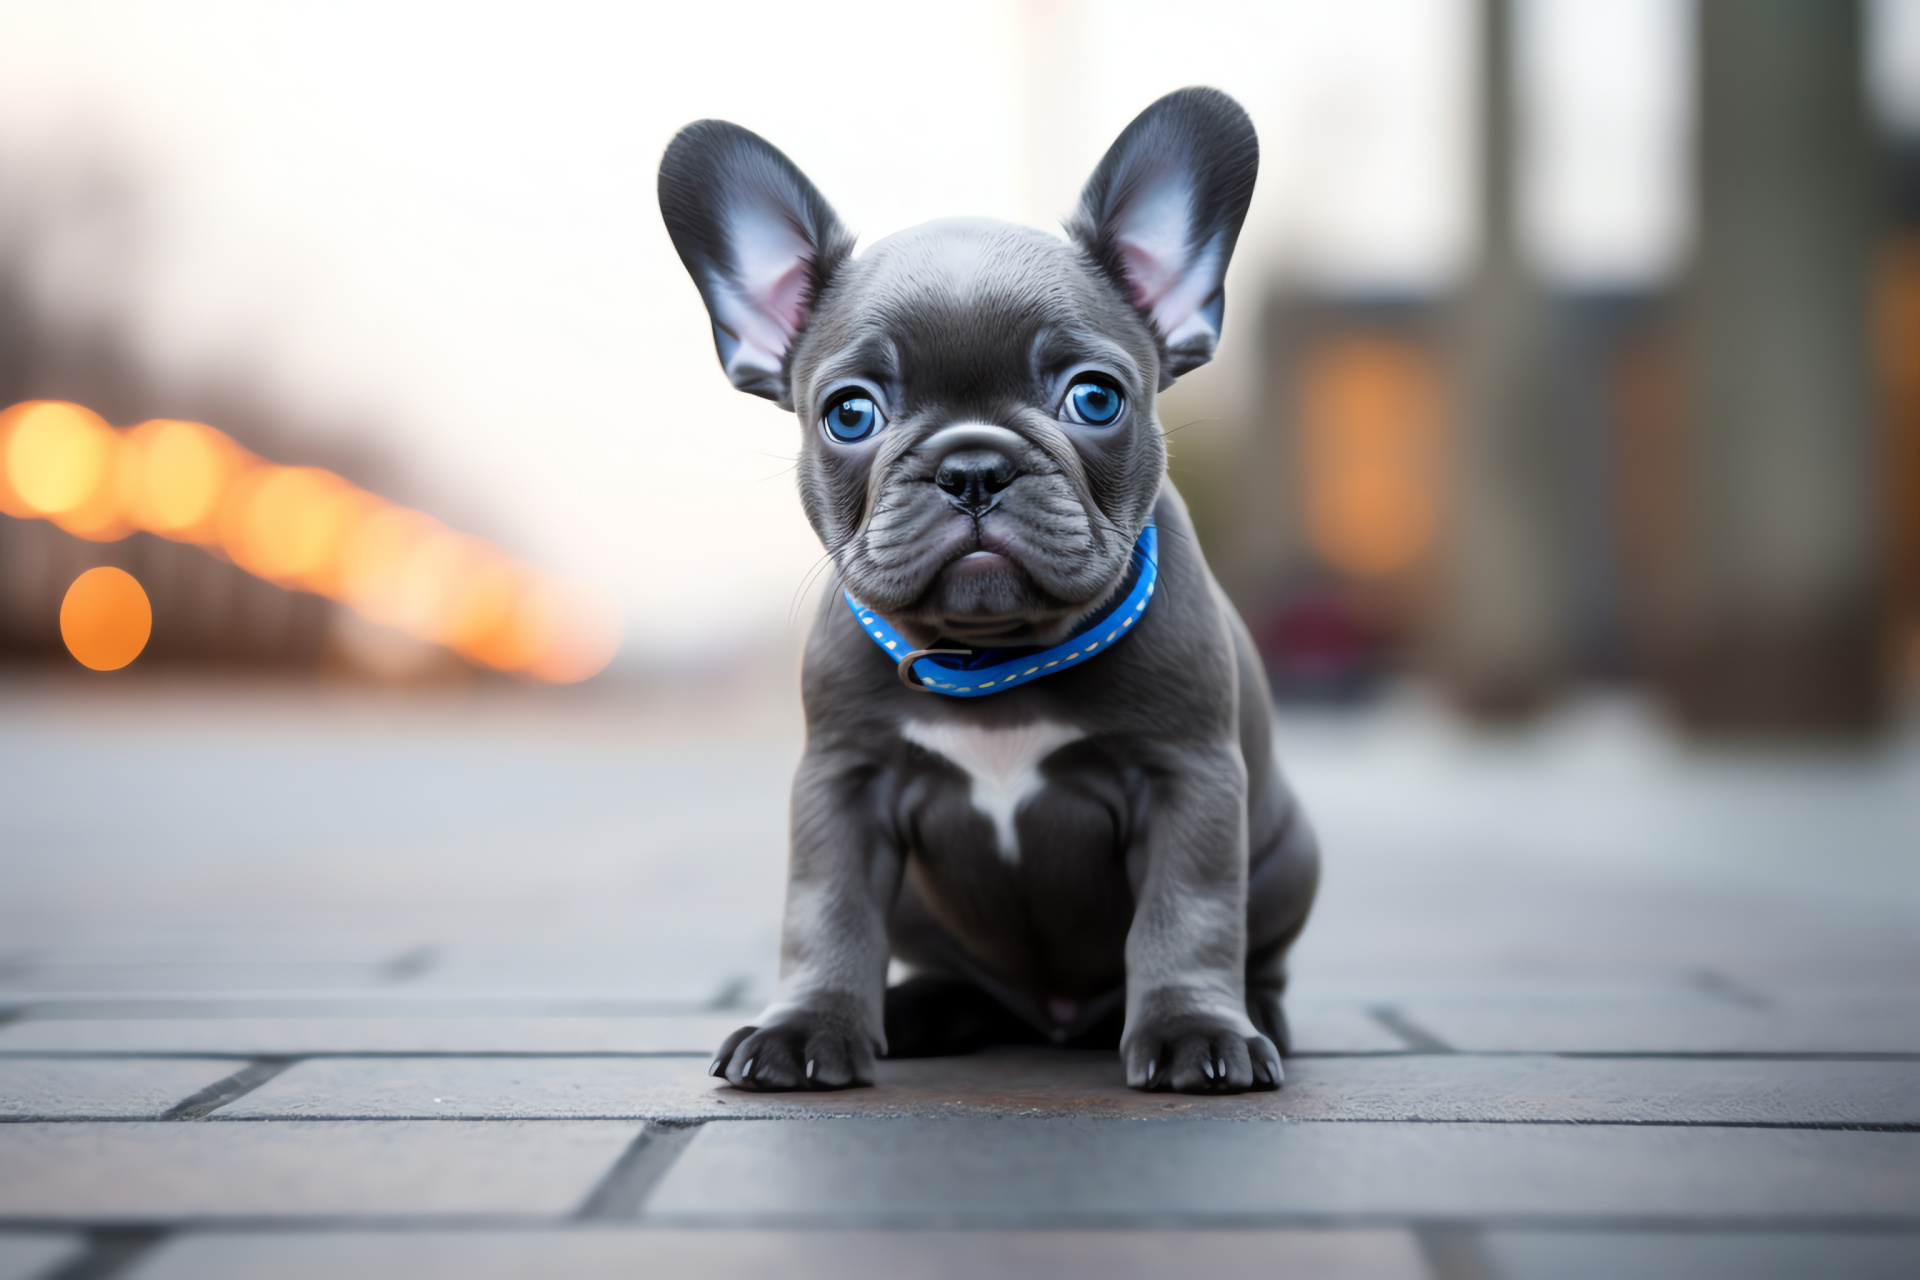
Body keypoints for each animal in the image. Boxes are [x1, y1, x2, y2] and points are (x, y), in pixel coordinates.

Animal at [664, 87, 1320, 1090]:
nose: (973, 465)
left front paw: (1194, 1033)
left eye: (1095, 398)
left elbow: (1189, 912)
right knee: (956, 978)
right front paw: (806, 1027)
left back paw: (1258, 1015)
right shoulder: (843, 784)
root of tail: (1052, 1020)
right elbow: (825, 910)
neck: (998, 657)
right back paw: (921, 1010)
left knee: (1261, 952)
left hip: (1290, 852)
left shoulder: (1190, 778)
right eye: (849, 413)